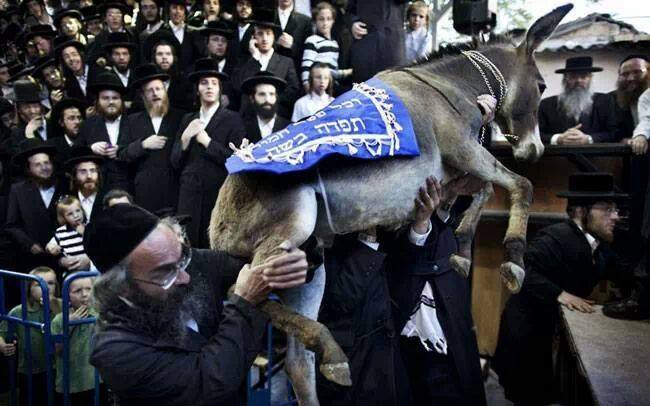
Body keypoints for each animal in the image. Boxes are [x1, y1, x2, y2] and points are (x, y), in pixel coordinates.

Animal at [210, 4, 573, 404]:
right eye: (541, 86)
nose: (534, 150)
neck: (449, 87)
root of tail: (216, 225)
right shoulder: (464, 151)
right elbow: (520, 186)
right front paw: (514, 260)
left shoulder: (455, 171)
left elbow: (482, 192)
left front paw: (462, 250)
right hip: (291, 231)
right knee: (239, 291)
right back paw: (331, 349)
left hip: (305, 266)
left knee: (297, 362)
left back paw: (331, 357)